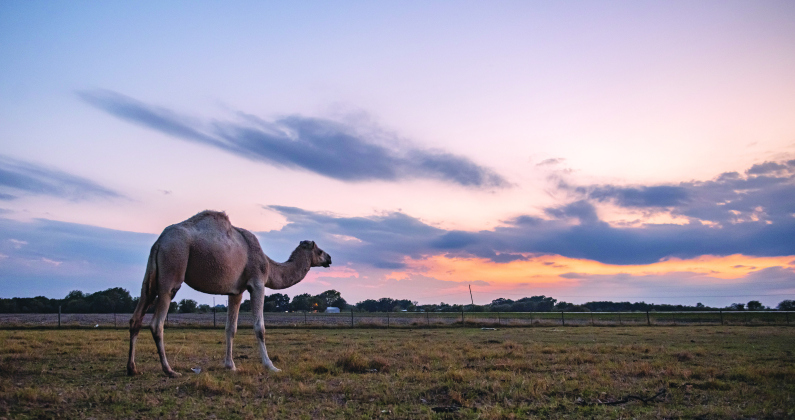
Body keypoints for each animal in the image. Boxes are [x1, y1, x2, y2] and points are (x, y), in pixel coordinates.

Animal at [127, 210, 331, 377]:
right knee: (157, 323)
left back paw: (132, 368)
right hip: (173, 267)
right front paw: (271, 366)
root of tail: (159, 242)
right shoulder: (257, 283)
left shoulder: (236, 291)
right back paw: (169, 370)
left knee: (136, 317)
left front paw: (230, 366)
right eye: (320, 251)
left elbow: (230, 328)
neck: (268, 265)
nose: (329, 258)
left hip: (151, 278)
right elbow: (260, 327)